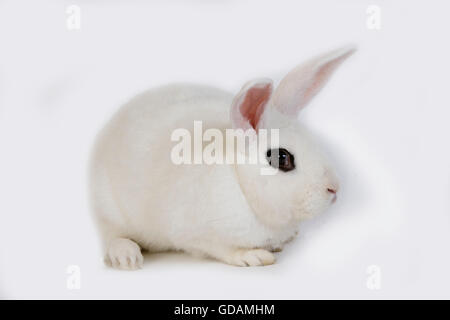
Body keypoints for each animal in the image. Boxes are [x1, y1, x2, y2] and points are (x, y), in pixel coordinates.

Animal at [89, 46, 356, 268]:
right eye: (281, 158)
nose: (334, 189)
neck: (239, 180)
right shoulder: (198, 235)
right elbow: (224, 250)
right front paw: (254, 256)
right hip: (109, 209)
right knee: (112, 235)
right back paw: (126, 257)